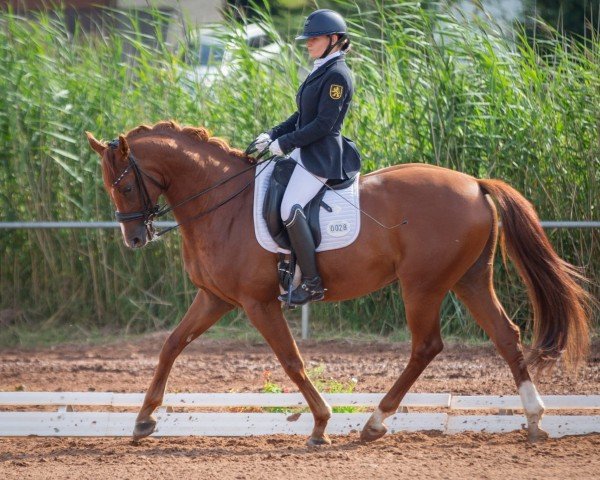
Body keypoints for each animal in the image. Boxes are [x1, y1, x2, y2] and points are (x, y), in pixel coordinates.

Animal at [85, 122, 592, 444]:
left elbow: (291, 361)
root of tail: (475, 183)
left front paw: (321, 424)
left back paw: (374, 422)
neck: (222, 203)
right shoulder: (215, 298)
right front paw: (143, 421)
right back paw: (534, 420)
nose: (135, 238)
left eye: (124, 186)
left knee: (427, 346)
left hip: (422, 285)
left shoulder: (257, 302)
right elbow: (171, 345)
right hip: (469, 278)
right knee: (506, 335)